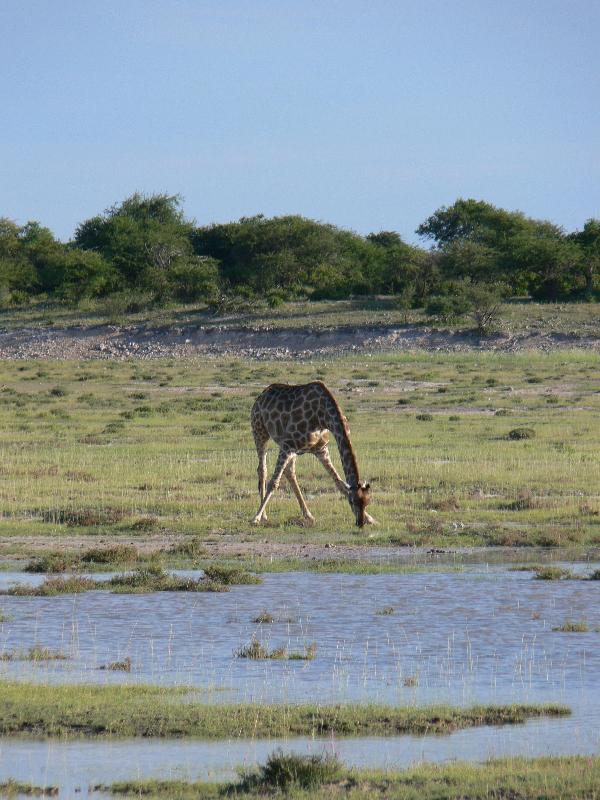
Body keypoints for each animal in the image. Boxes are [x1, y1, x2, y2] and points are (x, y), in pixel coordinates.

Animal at [250, 380, 376, 524]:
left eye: (367, 502)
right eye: (352, 501)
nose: (360, 523)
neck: (323, 417)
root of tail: (261, 395)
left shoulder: (321, 450)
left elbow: (339, 482)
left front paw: (370, 518)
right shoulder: (287, 445)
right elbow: (273, 483)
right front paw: (256, 517)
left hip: (292, 450)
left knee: (289, 472)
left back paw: (308, 514)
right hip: (260, 431)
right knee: (262, 469)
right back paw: (264, 515)